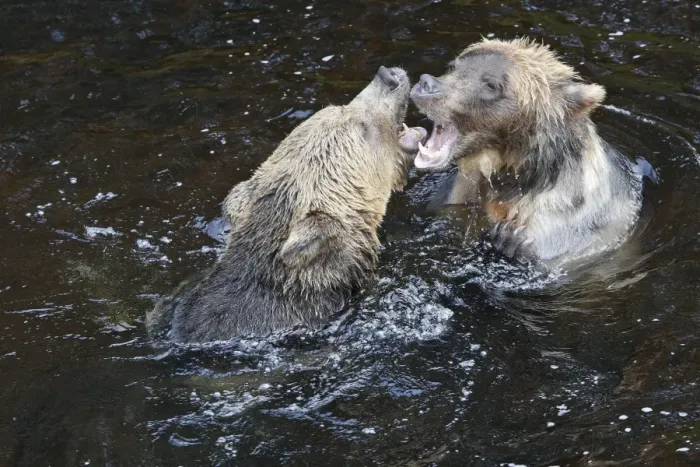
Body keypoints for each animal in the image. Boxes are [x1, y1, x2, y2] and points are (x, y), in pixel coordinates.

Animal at [409, 37, 651, 266]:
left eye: (491, 84)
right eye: (453, 66)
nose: (426, 84)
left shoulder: (569, 225)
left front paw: (509, 237)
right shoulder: (460, 193)